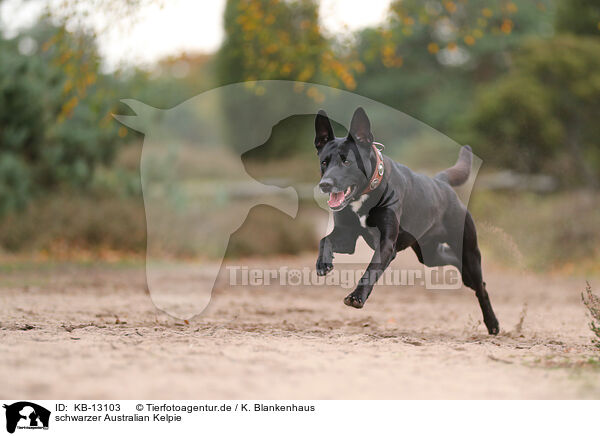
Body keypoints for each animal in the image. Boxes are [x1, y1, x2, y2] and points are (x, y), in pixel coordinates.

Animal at [316, 107, 500, 336]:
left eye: (346, 162)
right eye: (324, 163)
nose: (325, 184)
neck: (368, 192)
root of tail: (441, 182)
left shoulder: (386, 243)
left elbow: (371, 269)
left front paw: (357, 296)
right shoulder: (347, 237)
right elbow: (325, 239)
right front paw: (323, 263)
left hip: (469, 251)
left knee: (480, 287)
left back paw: (493, 323)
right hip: (430, 254)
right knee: (453, 262)